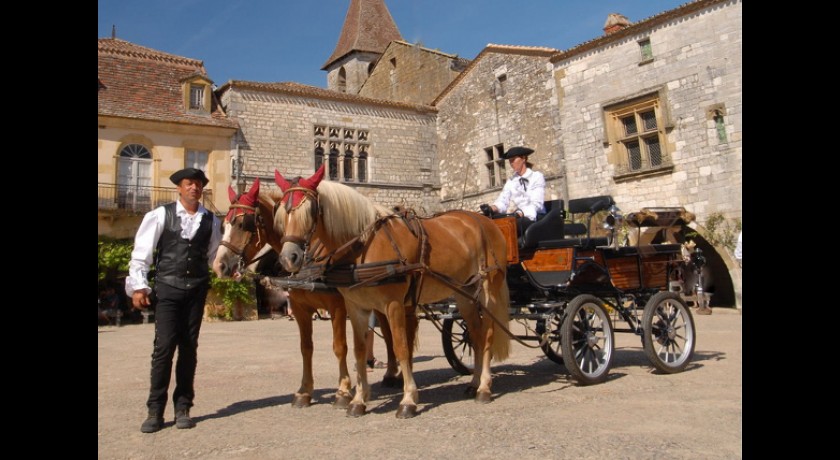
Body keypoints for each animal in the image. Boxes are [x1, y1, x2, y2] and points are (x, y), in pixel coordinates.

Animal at [211, 178, 401, 409]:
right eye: (223, 225)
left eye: (243, 223)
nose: (219, 265)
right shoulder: (300, 308)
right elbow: (306, 348)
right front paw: (304, 391)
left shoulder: (337, 307)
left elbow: (340, 347)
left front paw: (343, 391)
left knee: (389, 334)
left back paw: (393, 374)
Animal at [274, 165, 511, 418]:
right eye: (281, 212)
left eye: (310, 210)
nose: (289, 258)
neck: (363, 245)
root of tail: (483, 221)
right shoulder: (355, 307)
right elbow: (358, 350)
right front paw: (358, 400)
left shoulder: (393, 304)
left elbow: (401, 347)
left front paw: (408, 399)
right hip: (463, 293)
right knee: (475, 334)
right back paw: (474, 383)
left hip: (487, 290)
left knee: (487, 333)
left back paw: (484, 387)